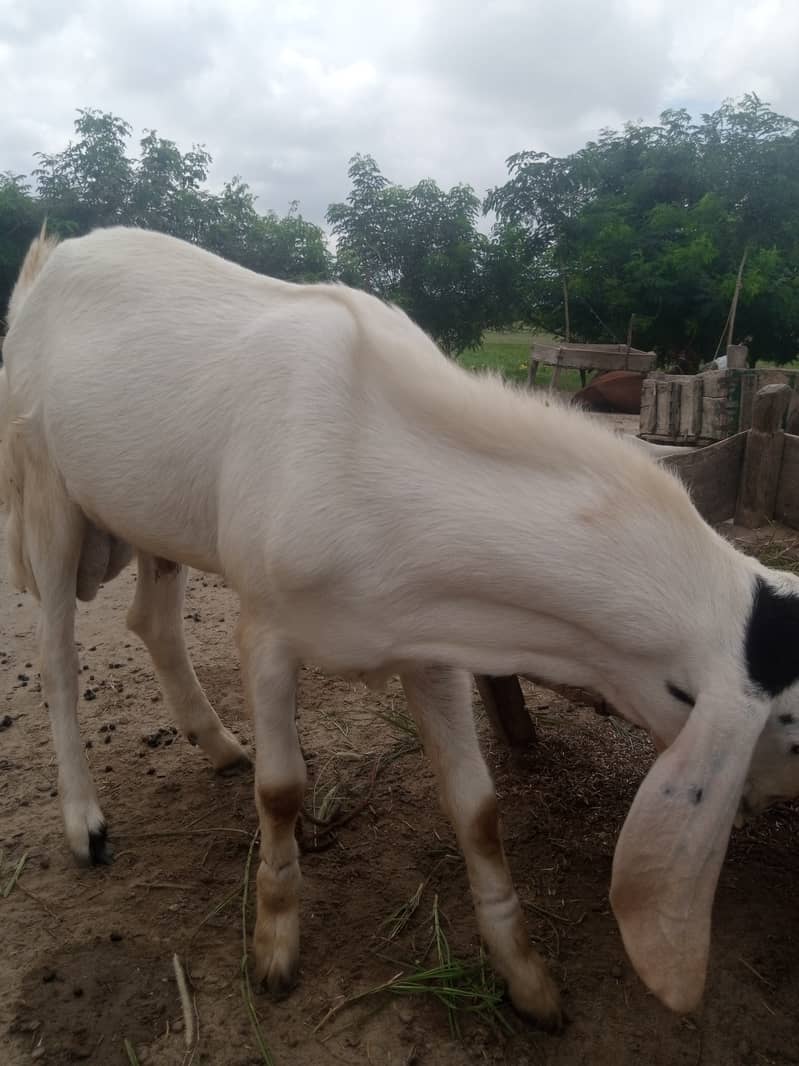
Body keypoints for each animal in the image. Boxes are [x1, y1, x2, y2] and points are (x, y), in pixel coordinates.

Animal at [4, 227, 799, 1023]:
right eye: (793, 735)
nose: (767, 808)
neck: (380, 459)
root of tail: (52, 256)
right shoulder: (265, 632)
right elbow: (281, 790)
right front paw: (274, 949)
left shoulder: (432, 638)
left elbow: (477, 806)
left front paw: (527, 979)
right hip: (43, 485)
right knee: (56, 655)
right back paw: (85, 823)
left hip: (155, 517)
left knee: (152, 620)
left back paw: (220, 744)